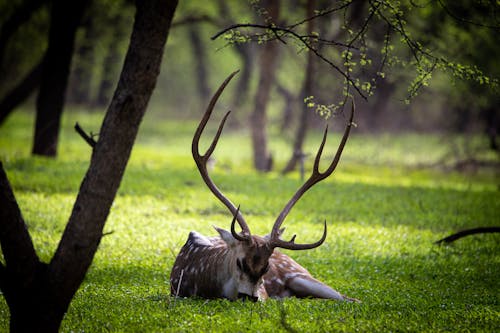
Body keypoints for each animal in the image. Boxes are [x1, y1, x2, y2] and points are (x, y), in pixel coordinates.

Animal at [170, 71, 358, 302]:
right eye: (240, 262)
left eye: (266, 268)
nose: (249, 297)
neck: (203, 284)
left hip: (301, 276)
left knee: (349, 298)